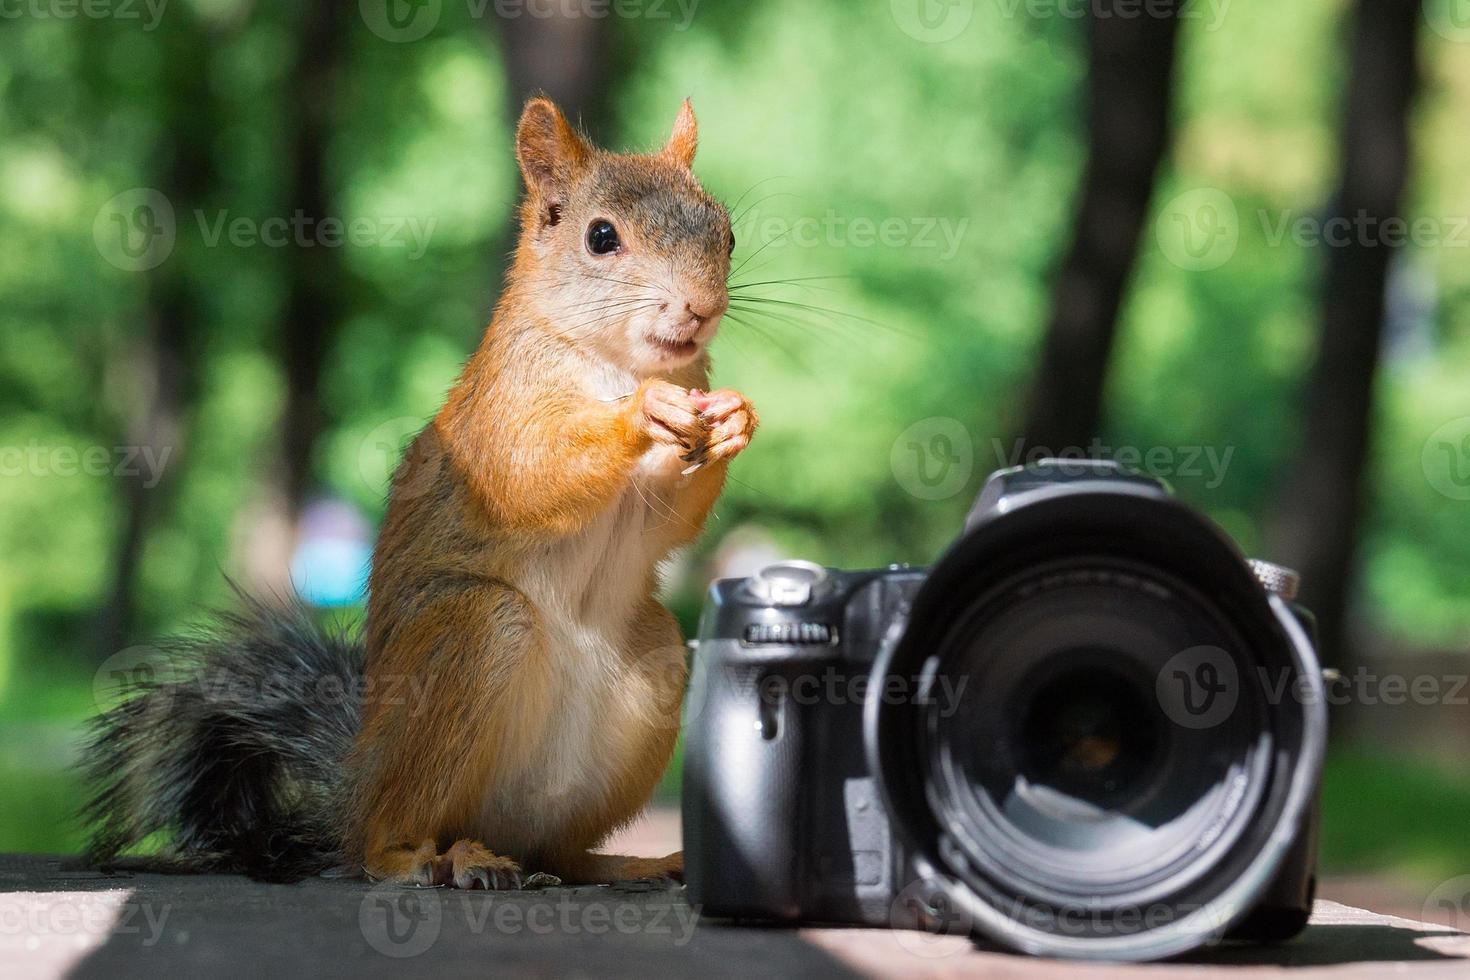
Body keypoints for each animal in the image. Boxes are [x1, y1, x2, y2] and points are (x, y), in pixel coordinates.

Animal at [83, 97, 758, 887]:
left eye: (726, 230)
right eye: (600, 237)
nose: (700, 308)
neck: (618, 363)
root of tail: (354, 786)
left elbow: (666, 525)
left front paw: (734, 420)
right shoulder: (498, 420)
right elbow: (530, 475)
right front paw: (642, 413)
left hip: (653, 665)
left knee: (559, 851)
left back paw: (625, 864)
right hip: (467, 637)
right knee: (387, 832)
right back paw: (422, 856)